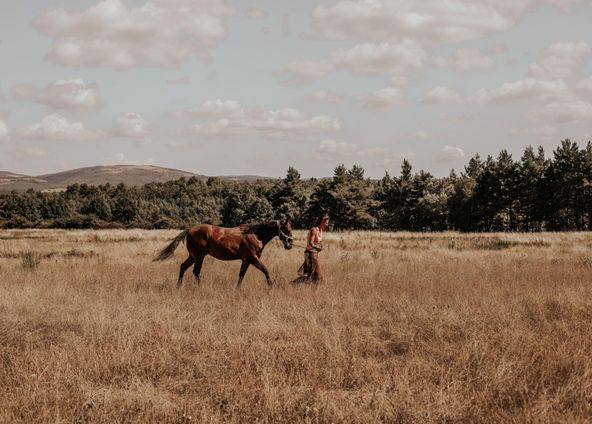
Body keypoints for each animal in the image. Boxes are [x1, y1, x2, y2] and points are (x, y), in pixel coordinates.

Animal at [153, 219, 292, 288]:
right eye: (286, 229)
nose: (289, 245)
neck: (255, 235)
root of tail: (189, 230)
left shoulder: (246, 260)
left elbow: (241, 275)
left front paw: (237, 289)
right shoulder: (252, 258)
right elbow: (265, 270)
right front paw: (271, 286)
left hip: (193, 256)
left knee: (183, 267)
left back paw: (178, 286)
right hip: (199, 257)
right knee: (196, 272)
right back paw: (199, 288)